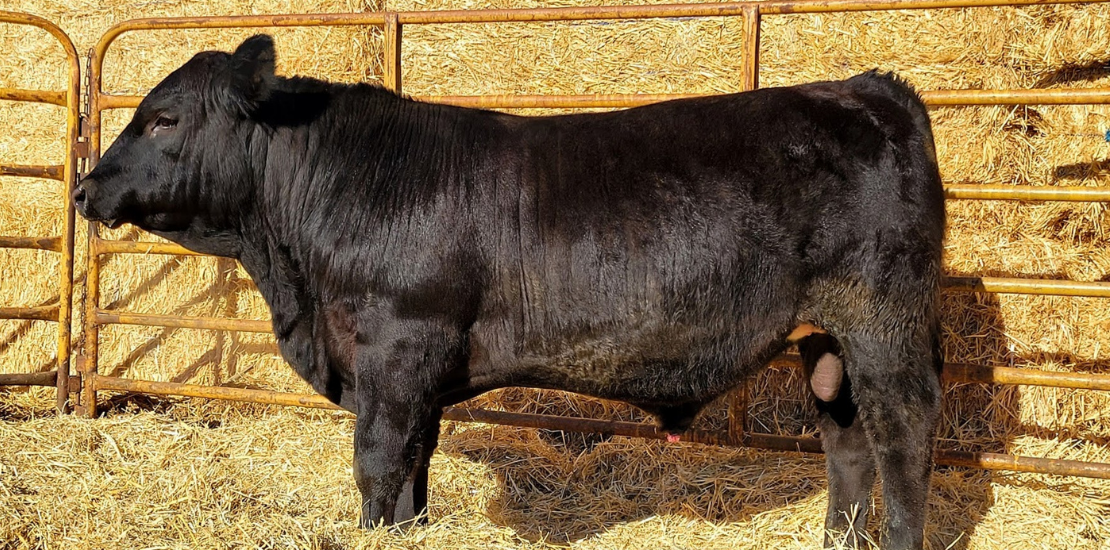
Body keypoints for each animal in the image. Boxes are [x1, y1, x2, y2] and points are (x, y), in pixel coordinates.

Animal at [73, 35, 945, 549]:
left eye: (163, 119)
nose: (84, 187)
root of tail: (869, 88)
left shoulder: (397, 345)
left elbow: (377, 461)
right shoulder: (416, 371)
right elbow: (414, 467)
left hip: (885, 323)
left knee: (902, 439)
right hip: (825, 340)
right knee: (848, 445)